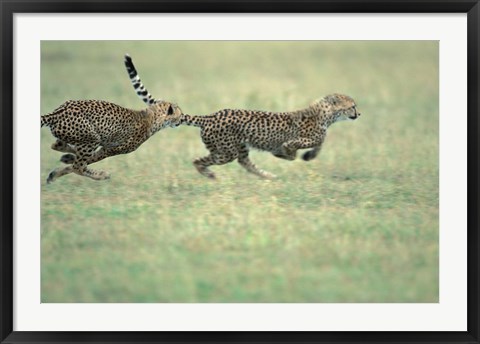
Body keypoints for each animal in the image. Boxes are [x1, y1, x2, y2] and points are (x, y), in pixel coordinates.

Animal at [41, 95, 183, 184]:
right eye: (180, 113)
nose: (182, 120)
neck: (152, 117)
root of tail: (57, 112)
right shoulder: (110, 149)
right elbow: (89, 160)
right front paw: (57, 171)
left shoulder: (106, 147)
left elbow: (84, 159)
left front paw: (62, 164)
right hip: (93, 139)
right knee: (78, 167)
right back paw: (101, 175)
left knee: (57, 145)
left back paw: (66, 154)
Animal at [124, 53, 360, 180]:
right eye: (353, 105)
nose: (359, 113)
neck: (326, 115)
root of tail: (211, 116)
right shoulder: (301, 138)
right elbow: (300, 145)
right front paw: (290, 154)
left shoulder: (317, 137)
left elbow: (318, 144)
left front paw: (305, 156)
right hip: (225, 152)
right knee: (199, 160)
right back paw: (210, 175)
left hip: (239, 148)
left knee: (246, 164)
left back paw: (268, 176)